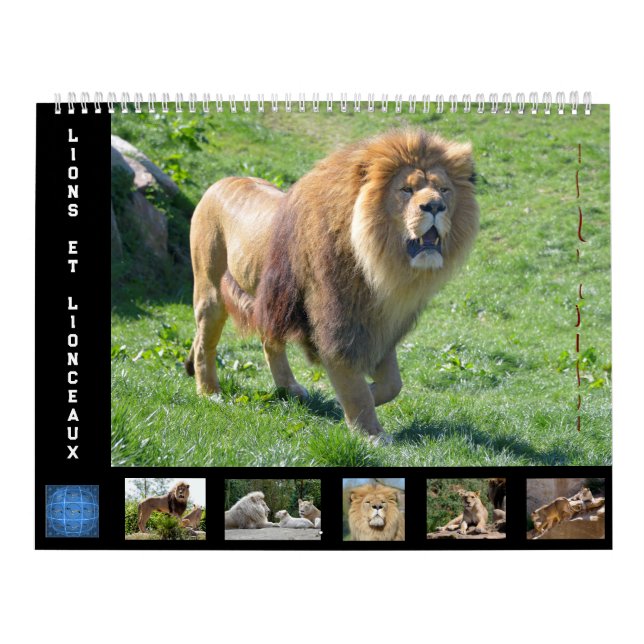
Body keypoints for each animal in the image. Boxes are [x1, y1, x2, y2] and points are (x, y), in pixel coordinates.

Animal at [185, 129, 479, 442]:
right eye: (406, 190)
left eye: (444, 190)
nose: (435, 206)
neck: (379, 267)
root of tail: (220, 182)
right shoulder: (336, 324)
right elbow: (353, 386)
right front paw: (372, 434)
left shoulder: (379, 325)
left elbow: (393, 384)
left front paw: (357, 401)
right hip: (210, 289)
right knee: (204, 343)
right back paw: (210, 393)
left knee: (268, 340)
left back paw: (289, 388)